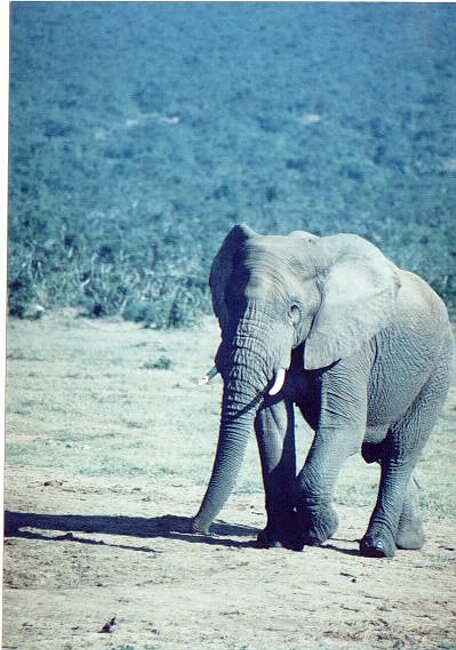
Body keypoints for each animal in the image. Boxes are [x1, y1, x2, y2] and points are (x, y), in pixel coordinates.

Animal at [191, 225, 454, 558]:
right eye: (228, 301)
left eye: (294, 311)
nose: (199, 528)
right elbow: (273, 425)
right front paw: (275, 540)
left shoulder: (351, 345)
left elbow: (344, 428)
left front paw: (315, 533)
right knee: (379, 451)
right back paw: (408, 541)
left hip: (437, 369)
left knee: (400, 451)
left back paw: (378, 547)